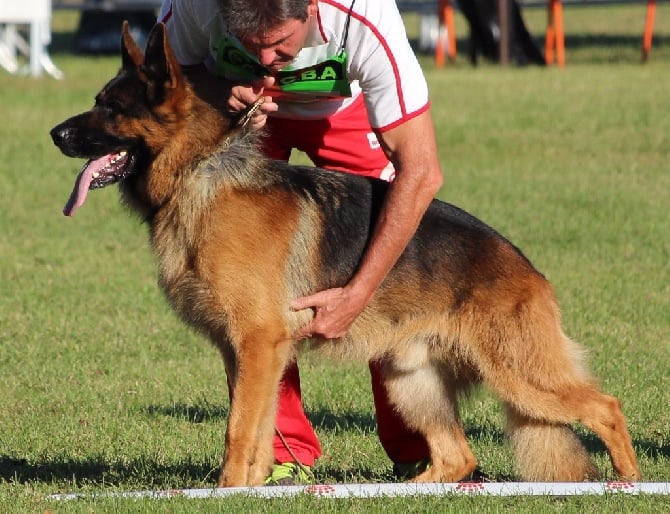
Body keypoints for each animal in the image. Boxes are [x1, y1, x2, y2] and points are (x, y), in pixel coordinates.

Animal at [51, 24, 640, 486]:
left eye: (111, 107)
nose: (54, 133)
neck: (200, 172)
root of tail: (528, 270)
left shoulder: (258, 345)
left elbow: (238, 429)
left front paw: (226, 492)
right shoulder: (248, 354)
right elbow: (257, 431)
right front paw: (254, 488)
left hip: (517, 376)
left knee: (606, 408)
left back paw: (628, 482)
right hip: (412, 381)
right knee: (458, 456)